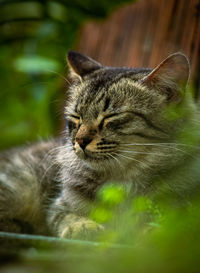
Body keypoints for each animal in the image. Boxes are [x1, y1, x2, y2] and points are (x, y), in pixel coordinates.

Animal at [0, 51, 200, 238]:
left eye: (111, 116)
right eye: (76, 117)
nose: (80, 141)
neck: (120, 182)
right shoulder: (58, 207)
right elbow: (67, 218)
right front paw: (83, 227)